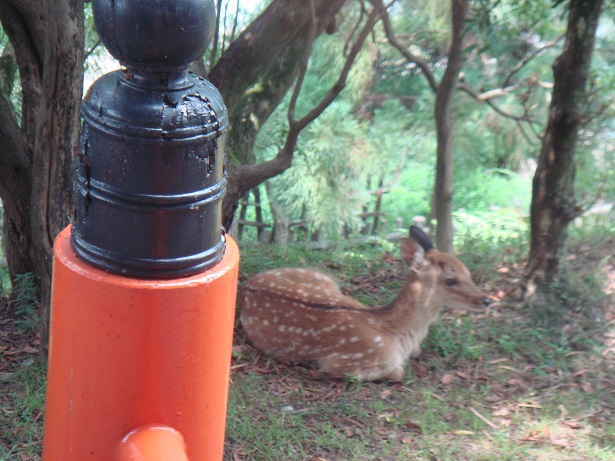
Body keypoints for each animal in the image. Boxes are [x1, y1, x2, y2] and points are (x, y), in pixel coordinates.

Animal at [238, 226, 494, 380]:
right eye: (451, 280)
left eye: (467, 272)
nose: (486, 300)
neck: (398, 335)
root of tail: (248, 284)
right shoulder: (343, 362)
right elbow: (398, 372)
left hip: (324, 278)